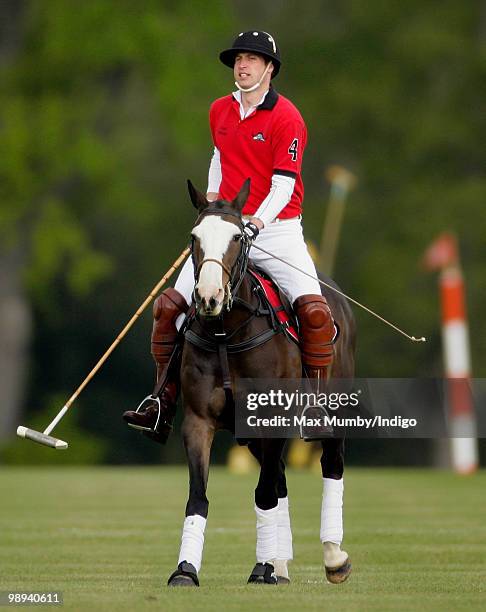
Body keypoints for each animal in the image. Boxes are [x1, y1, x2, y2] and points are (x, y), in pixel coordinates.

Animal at [169, 180, 356, 588]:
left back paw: (333, 558)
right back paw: (280, 566)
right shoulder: (198, 421)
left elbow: (264, 493)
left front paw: (262, 567)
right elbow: (199, 496)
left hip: (333, 408)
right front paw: (185, 570)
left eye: (238, 236)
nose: (208, 297)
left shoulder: (273, 416)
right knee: (281, 478)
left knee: (331, 464)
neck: (226, 332)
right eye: (194, 237)